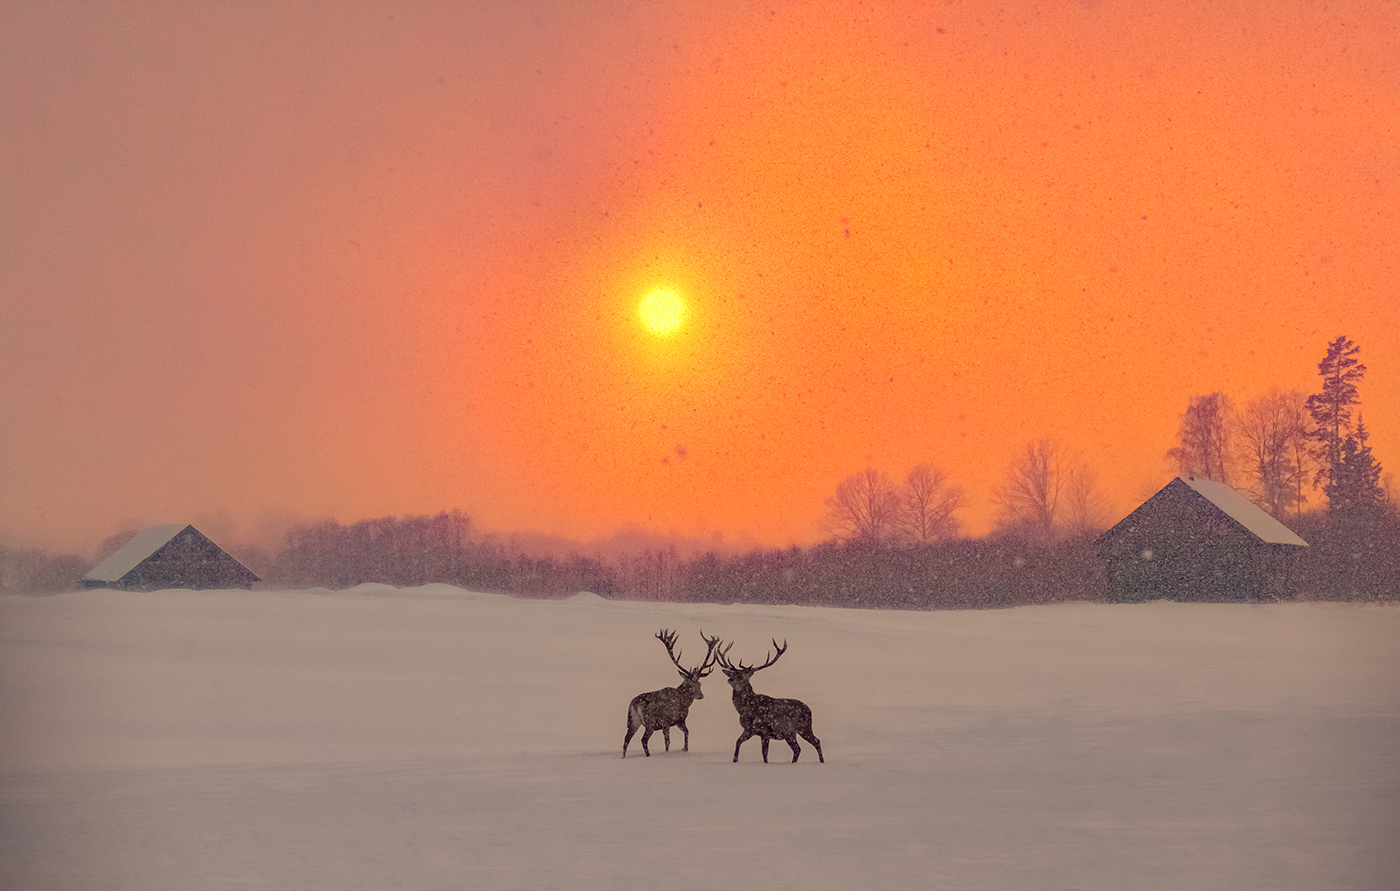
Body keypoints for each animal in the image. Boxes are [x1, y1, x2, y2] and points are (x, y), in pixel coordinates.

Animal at [621, 627, 716, 756]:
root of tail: (635, 704)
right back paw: (648, 756)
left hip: (632, 721)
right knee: (643, 740)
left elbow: (686, 732)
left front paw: (685, 748)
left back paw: (623, 757)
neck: (684, 703)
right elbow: (668, 741)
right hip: (650, 722)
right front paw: (674, 751)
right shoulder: (668, 721)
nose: (701, 695)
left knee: (626, 739)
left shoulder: (678, 721)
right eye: (690, 685)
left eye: (700, 684)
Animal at [716, 633, 823, 767]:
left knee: (816, 741)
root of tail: (810, 710)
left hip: (804, 727)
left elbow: (764, 753)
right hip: (790, 734)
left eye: (741, 676)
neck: (745, 709)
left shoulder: (765, 730)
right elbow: (738, 742)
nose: (730, 680)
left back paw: (822, 762)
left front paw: (765, 764)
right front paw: (735, 761)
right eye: (733, 673)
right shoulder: (748, 729)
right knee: (797, 748)